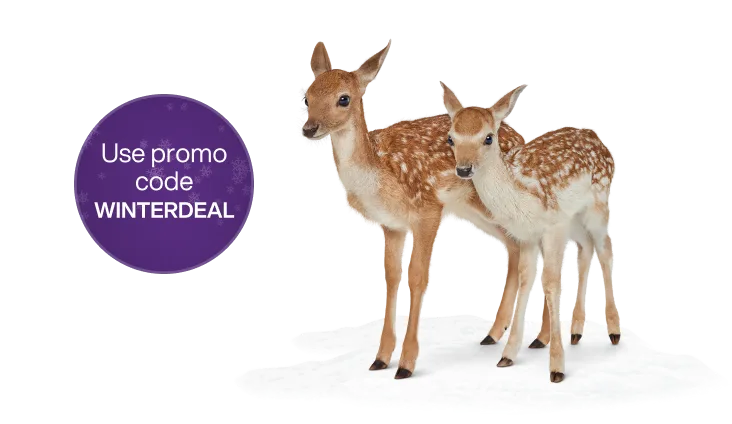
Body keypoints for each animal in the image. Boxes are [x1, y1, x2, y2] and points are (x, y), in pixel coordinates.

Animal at [300, 40, 529, 379]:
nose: (309, 128)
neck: (382, 174)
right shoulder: (392, 226)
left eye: (344, 98)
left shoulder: (427, 210)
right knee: (512, 244)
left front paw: (406, 364)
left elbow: (419, 278)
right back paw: (493, 334)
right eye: (308, 94)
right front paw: (381, 359)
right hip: (471, 210)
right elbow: (392, 280)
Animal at [439, 81, 619, 383]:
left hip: (598, 203)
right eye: (451, 138)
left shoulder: (553, 225)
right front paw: (508, 356)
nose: (463, 169)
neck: (520, 193)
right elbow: (526, 281)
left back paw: (614, 331)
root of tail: (601, 140)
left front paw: (556, 367)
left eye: (488, 138)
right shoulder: (526, 235)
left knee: (605, 248)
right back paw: (577, 332)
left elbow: (551, 283)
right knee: (586, 248)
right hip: (576, 217)